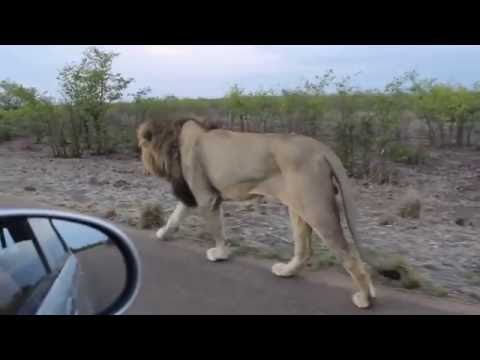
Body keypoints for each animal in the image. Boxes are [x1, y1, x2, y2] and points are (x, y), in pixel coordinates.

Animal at [137, 116, 376, 308]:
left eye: (142, 148)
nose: (143, 165)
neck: (175, 141)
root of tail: (320, 148)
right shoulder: (193, 194)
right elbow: (175, 216)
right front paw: (162, 233)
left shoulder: (206, 197)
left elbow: (216, 230)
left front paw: (220, 253)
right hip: (298, 207)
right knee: (305, 249)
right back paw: (286, 271)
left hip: (316, 207)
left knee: (349, 255)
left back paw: (364, 298)